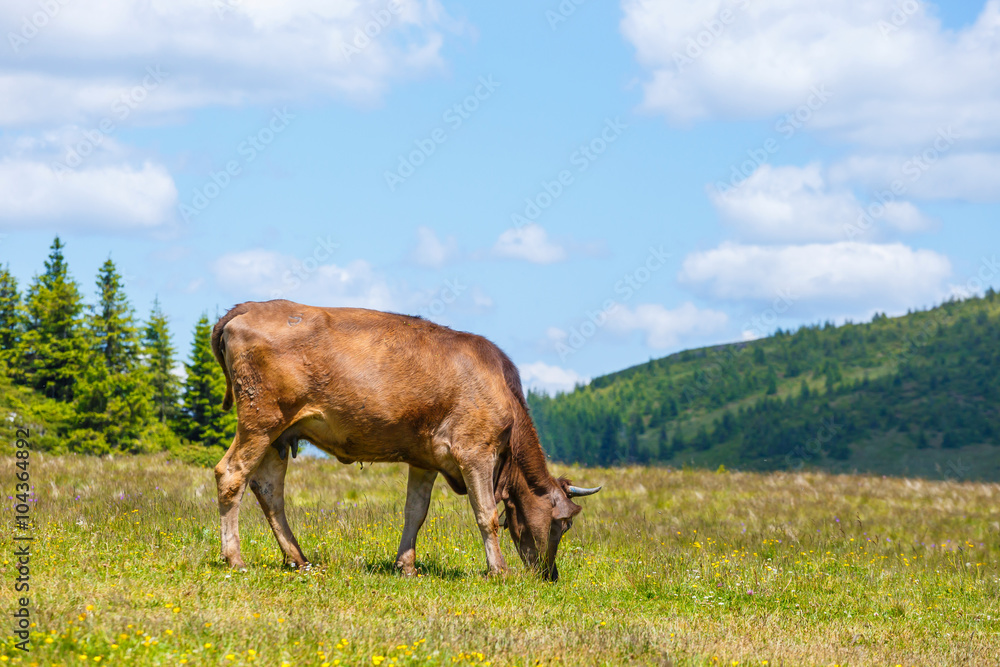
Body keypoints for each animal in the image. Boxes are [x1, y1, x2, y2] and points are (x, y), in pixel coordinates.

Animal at [210, 300, 601, 581]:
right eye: (564, 523)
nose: (551, 576)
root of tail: (247, 306)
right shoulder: (475, 451)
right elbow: (486, 514)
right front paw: (499, 571)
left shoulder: (424, 459)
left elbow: (415, 512)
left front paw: (406, 566)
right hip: (260, 419)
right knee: (231, 474)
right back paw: (235, 559)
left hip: (280, 433)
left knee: (268, 489)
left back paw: (298, 558)